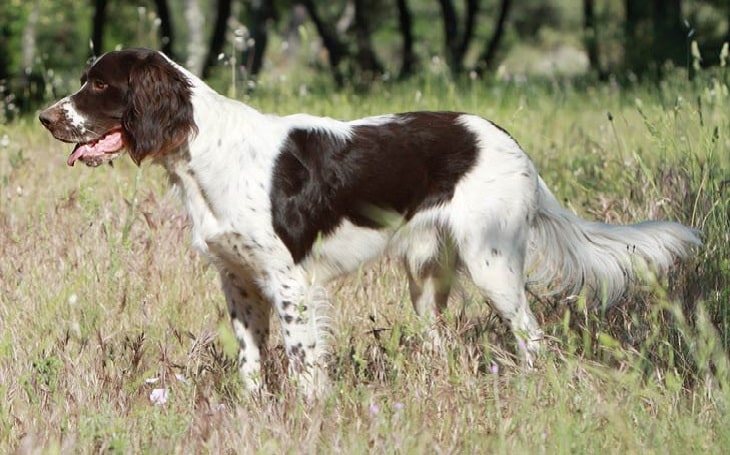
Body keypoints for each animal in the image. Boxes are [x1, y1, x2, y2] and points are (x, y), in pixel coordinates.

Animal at [39, 48, 700, 398]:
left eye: (100, 84)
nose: (47, 117)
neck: (205, 153)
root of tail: (510, 142)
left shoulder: (290, 283)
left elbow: (304, 361)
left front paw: (310, 413)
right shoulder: (238, 282)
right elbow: (252, 362)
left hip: (492, 263)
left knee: (532, 338)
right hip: (427, 273)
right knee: (438, 339)